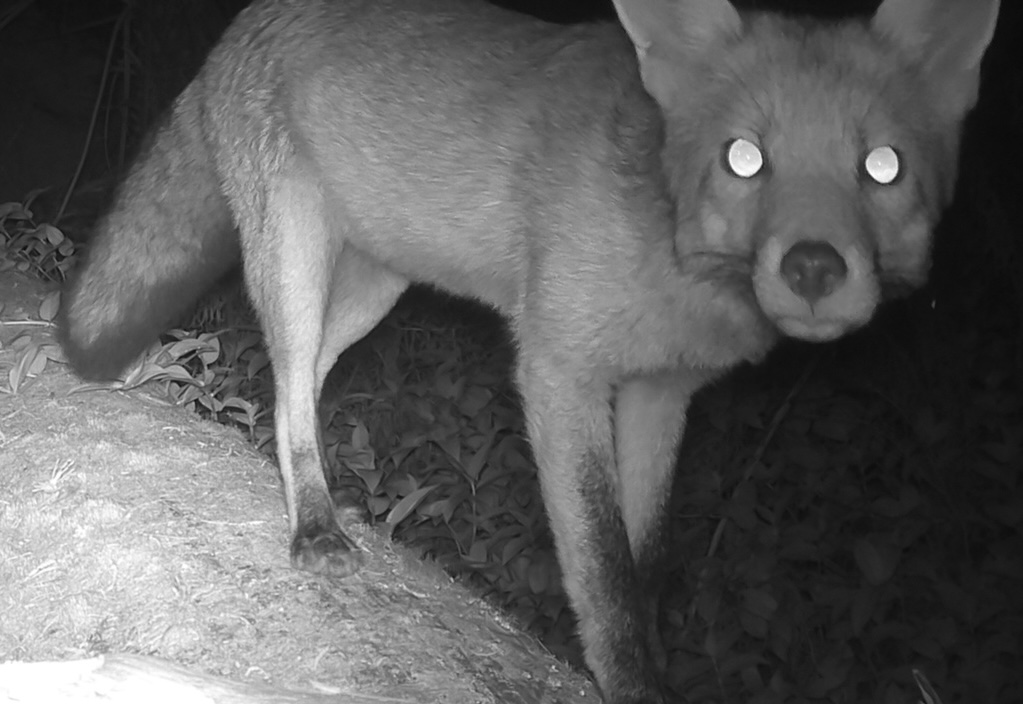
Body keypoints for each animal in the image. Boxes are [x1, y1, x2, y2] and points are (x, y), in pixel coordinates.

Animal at [58, 0, 999, 701]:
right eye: (743, 157)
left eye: (882, 166)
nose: (813, 267)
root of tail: (248, 16)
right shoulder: (559, 368)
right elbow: (602, 566)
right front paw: (630, 681)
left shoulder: (662, 394)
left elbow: (645, 558)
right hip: (293, 257)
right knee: (287, 381)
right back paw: (314, 519)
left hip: (373, 289)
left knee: (301, 379)